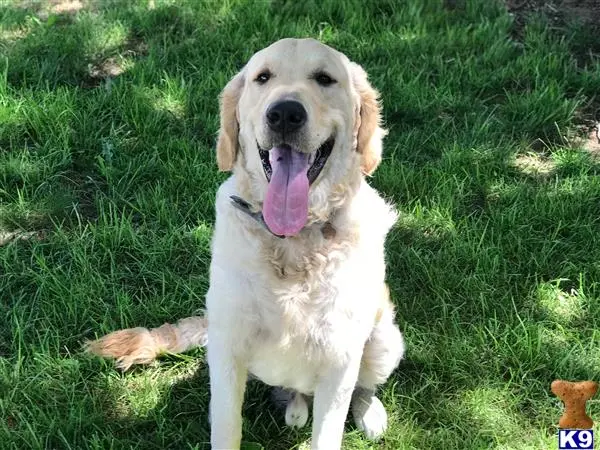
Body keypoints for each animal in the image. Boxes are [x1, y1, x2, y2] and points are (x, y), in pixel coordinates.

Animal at [86, 38, 406, 450]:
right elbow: (226, 429)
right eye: (263, 78)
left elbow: (329, 430)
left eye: (325, 78)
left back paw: (368, 412)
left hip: (384, 340)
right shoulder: (227, 351)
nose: (284, 113)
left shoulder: (340, 361)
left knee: (363, 387)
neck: (291, 242)